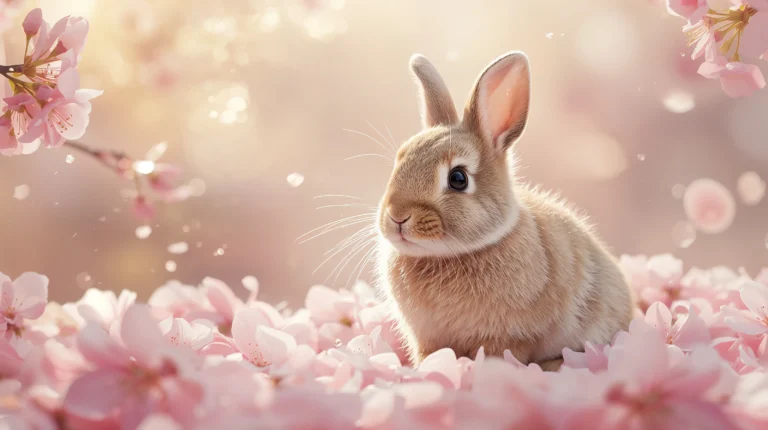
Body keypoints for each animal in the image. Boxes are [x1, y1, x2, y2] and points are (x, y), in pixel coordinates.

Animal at [374, 51, 634, 371]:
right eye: (400, 160)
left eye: (458, 178)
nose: (397, 216)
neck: (449, 254)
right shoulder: (427, 338)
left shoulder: (510, 336)